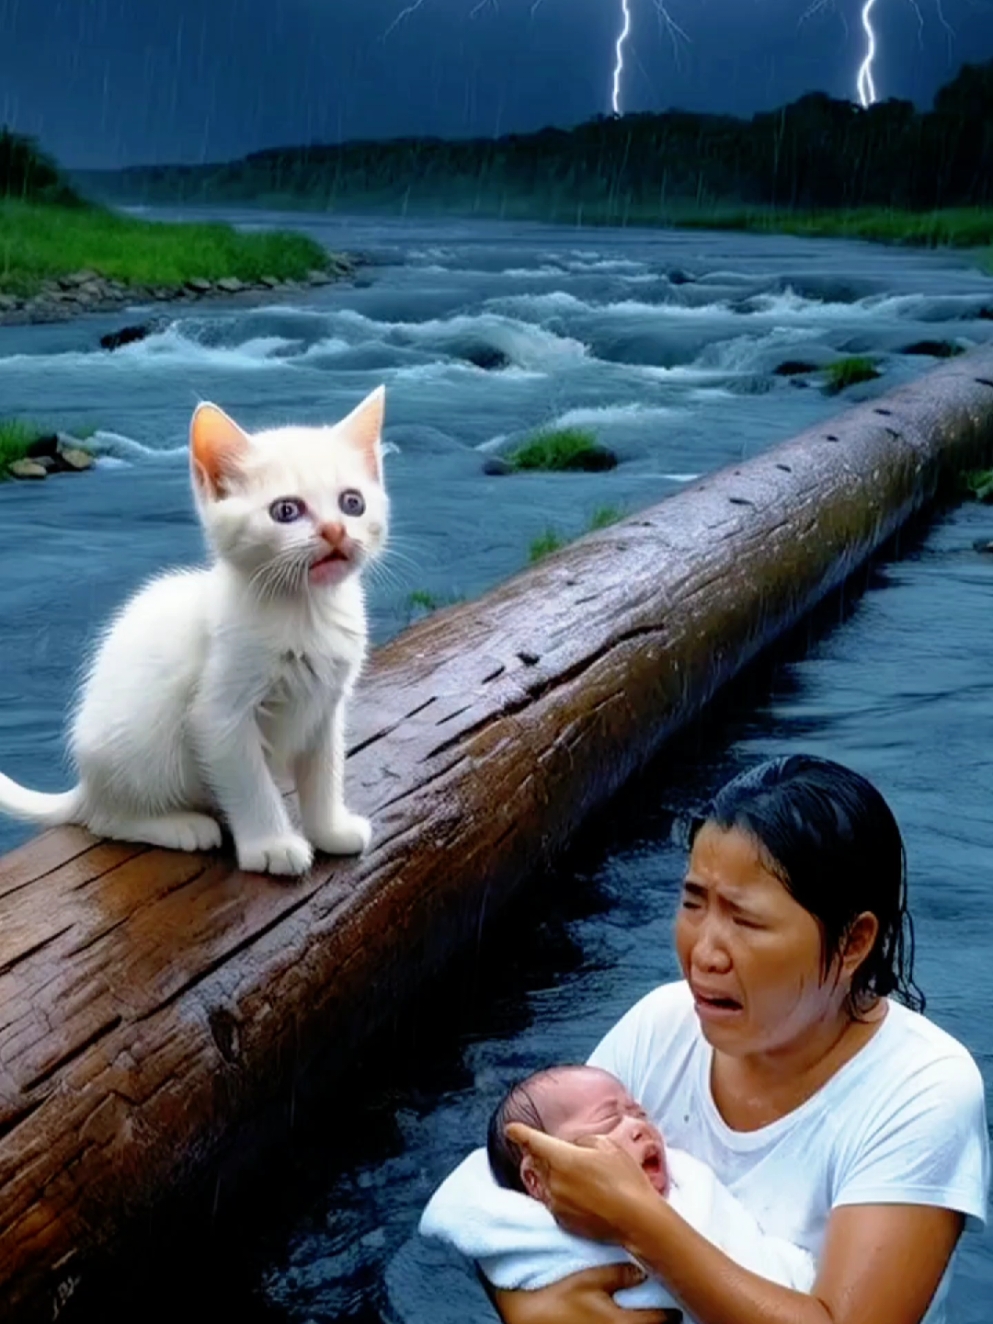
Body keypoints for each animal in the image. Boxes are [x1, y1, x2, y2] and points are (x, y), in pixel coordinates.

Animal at [0, 386, 389, 879]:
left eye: (352, 503)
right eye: (286, 511)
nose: (336, 530)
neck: (305, 613)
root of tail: (86, 783)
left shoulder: (325, 706)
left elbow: (324, 771)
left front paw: (330, 829)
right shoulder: (218, 715)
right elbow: (249, 781)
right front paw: (273, 845)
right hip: (143, 745)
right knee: (105, 820)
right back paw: (181, 825)